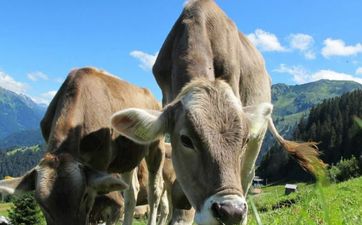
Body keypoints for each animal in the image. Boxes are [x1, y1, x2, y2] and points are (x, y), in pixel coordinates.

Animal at [0, 67, 166, 225]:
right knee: (131, 192)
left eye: (84, 196)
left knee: (155, 191)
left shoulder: (101, 162)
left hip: (157, 146)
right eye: (42, 205)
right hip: (127, 157)